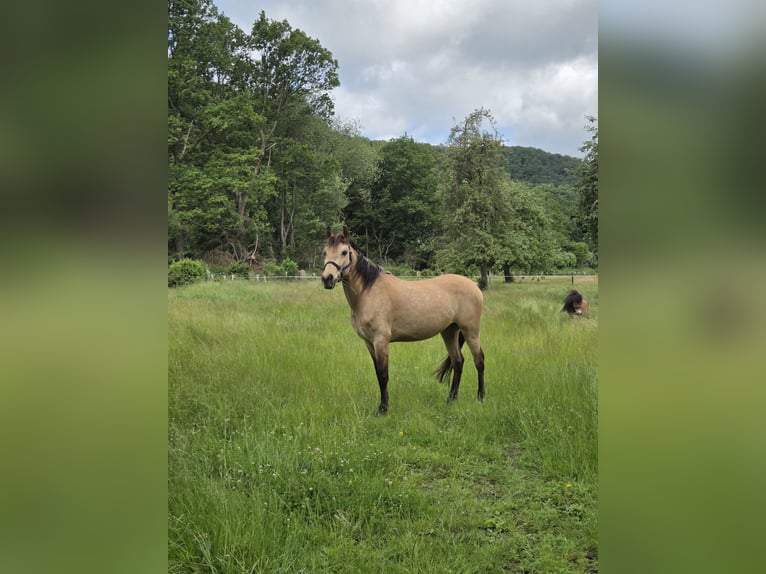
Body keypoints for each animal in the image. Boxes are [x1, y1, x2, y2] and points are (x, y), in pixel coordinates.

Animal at [321, 226, 485, 416]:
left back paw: (480, 398)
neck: (368, 292)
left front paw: (382, 409)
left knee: (479, 361)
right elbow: (378, 374)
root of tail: (474, 286)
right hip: (449, 331)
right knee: (458, 362)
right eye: (325, 252)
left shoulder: (381, 340)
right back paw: (451, 399)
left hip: (471, 331)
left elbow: (383, 375)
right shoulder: (369, 343)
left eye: (344, 252)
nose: (327, 278)